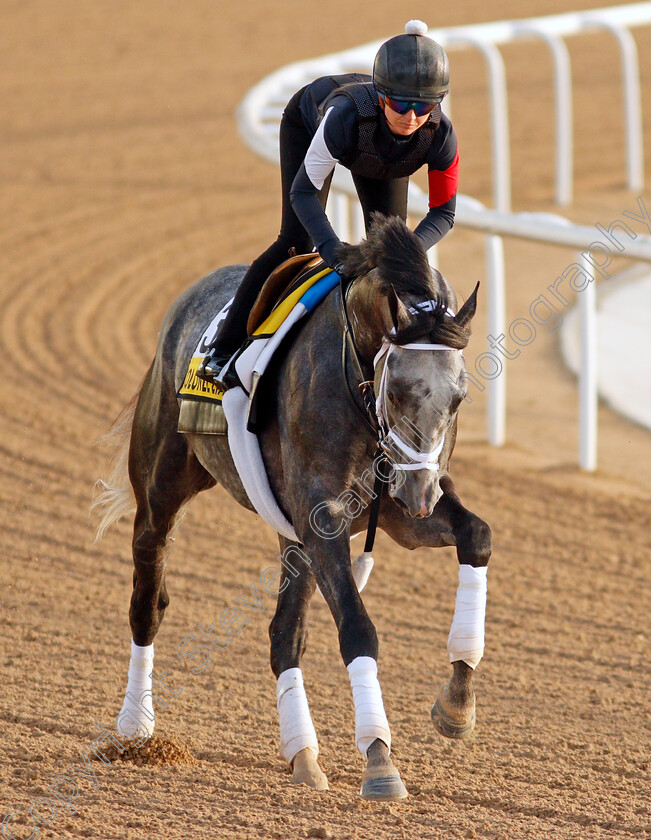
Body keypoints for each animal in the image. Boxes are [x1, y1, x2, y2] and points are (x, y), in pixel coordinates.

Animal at [95, 215, 494, 800]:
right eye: (397, 390)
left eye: (459, 397)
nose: (421, 495)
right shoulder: (324, 521)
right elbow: (358, 628)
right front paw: (379, 759)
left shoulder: (392, 515)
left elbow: (477, 536)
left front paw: (457, 702)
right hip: (160, 492)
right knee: (148, 601)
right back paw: (134, 729)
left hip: (293, 538)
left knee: (284, 635)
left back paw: (302, 755)